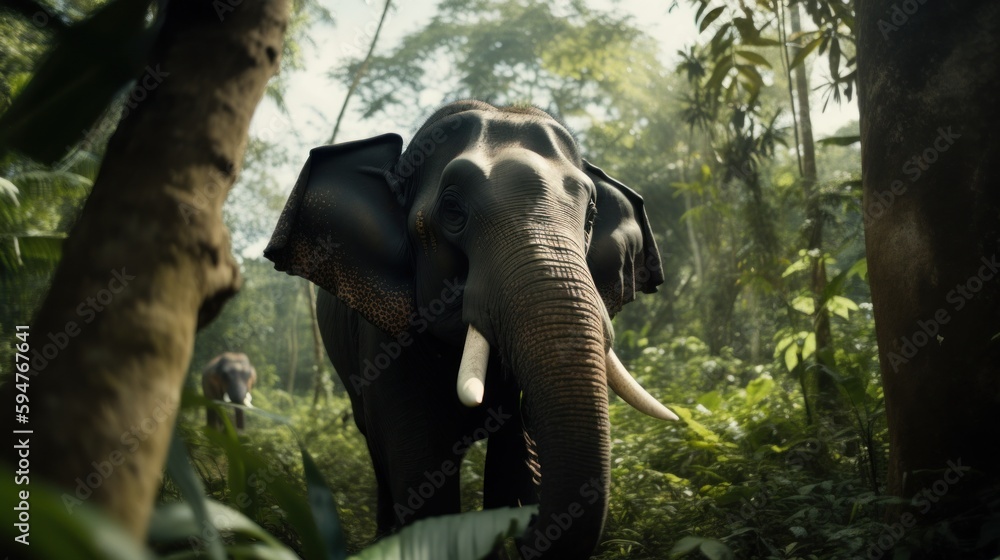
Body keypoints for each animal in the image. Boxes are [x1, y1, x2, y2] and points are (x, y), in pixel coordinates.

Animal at [264, 100, 677, 559]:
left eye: (590, 217)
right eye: (453, 211)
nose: (527, 524)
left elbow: (513, 451)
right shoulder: (387, 338)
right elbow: (423, 477)